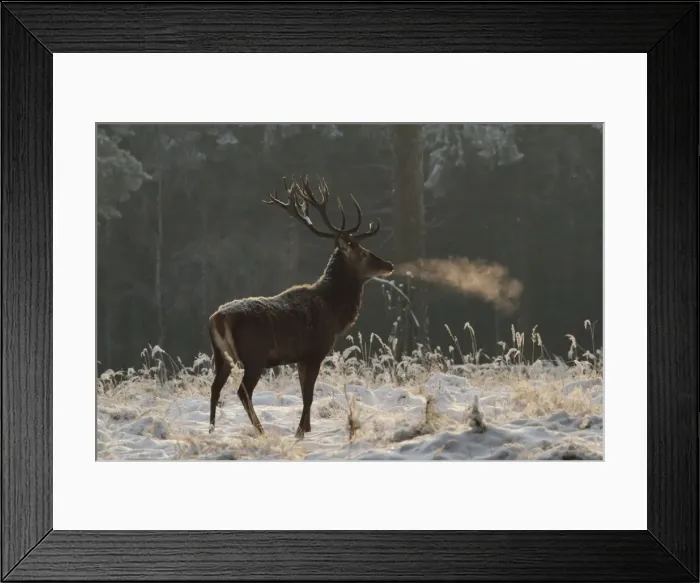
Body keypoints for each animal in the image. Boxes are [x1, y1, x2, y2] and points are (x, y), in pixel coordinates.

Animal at [207, 175, 394, 439]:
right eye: (364, 252)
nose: (389, 265)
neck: (334, 311)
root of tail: (218, 318)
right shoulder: (316, 351)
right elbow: (308, 395)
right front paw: (301, 432)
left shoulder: (300, 357)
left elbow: (306, 393)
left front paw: (305, 427)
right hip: (254, 355)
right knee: (243, 391)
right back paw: (261, 430)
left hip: (221, 356)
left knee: (215, 388)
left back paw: (212, 429)